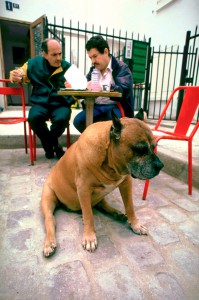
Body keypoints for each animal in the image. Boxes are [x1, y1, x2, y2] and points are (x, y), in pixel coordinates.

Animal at [41, 111, 163, 256]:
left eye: (154, 147)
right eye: (140, 149)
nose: (161, 166)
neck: (109, 162)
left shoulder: (126, 183)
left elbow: (130, 207)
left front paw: (135, 224)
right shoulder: (83, 190)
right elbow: (89, 216)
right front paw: (89, 237)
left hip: (99, 196)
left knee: (102, 205)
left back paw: (117, 213)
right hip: (48, 198)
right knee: (51, 220)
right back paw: (49, 243)